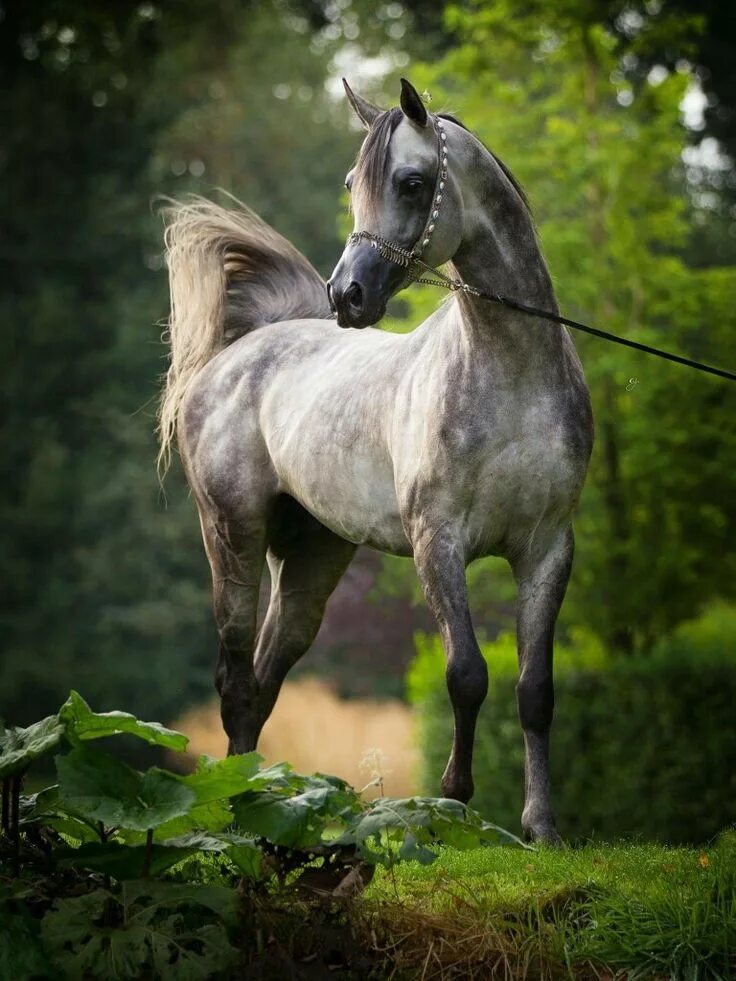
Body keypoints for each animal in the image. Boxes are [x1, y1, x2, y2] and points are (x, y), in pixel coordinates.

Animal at [160, 76, 592, 844]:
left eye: (412, 182)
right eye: (350, 184)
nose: (347, 295)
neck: (508, 375)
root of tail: (243, 349)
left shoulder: (547, 549)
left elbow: (534, 689)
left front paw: (542, 828)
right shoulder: (436, 543)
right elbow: (466, 675)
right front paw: (455, 806)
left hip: (312, 559)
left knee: (264, 683)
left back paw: (257, 808)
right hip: (231, 537)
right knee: (235, 680)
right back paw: (234, 818)